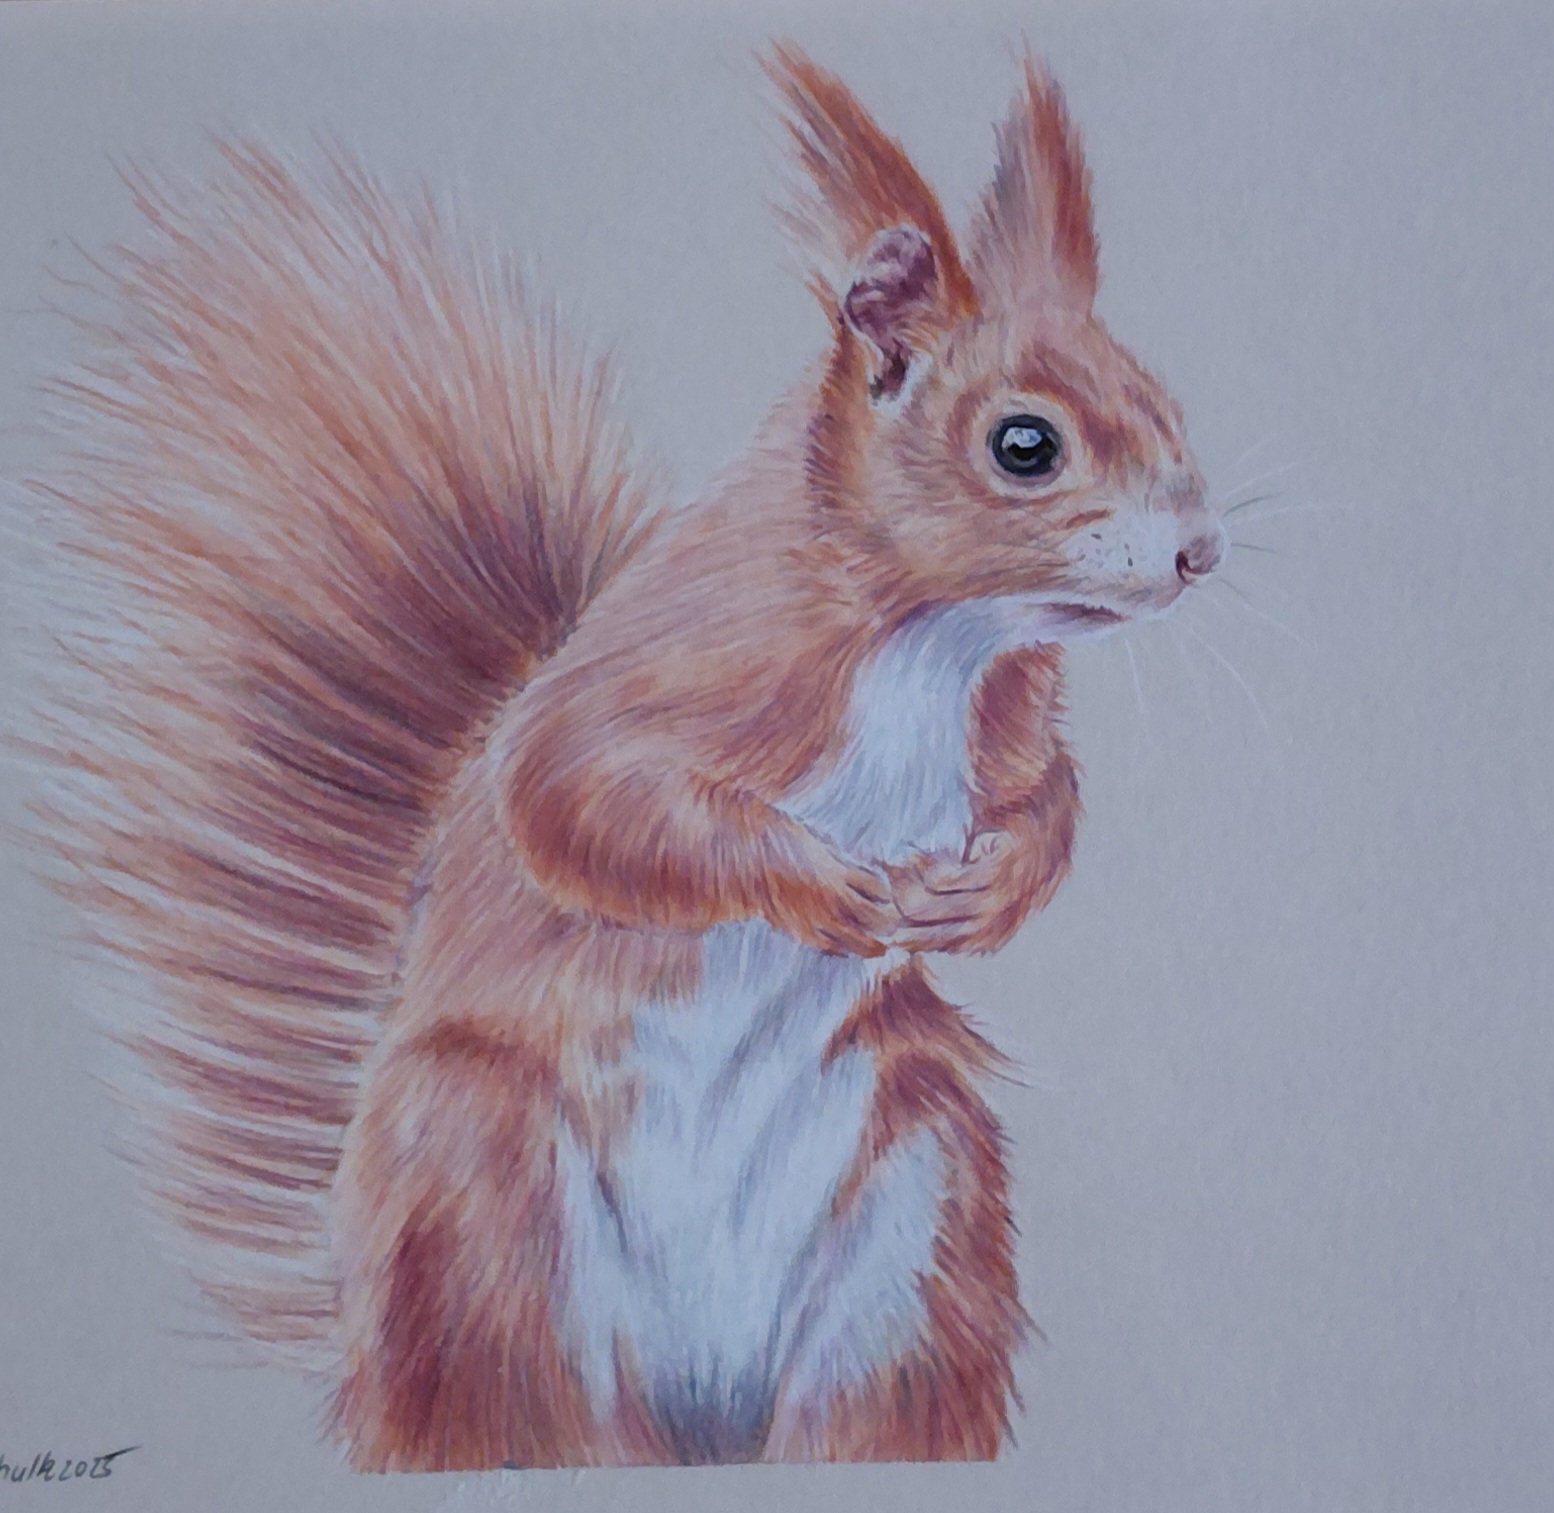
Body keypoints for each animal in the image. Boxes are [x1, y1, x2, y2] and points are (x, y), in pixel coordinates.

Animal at [25, 44, 1225, 1469]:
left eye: (1163, 401)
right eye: (1024, 444)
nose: (1200, 552)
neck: (934, 641)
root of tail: (697, 1407)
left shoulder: (1012, 726)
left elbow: (1049, 802)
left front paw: (979, 892)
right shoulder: (650, 683)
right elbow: (579, 797)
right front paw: (817, 884)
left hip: (919, 1230)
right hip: (484, 1218)